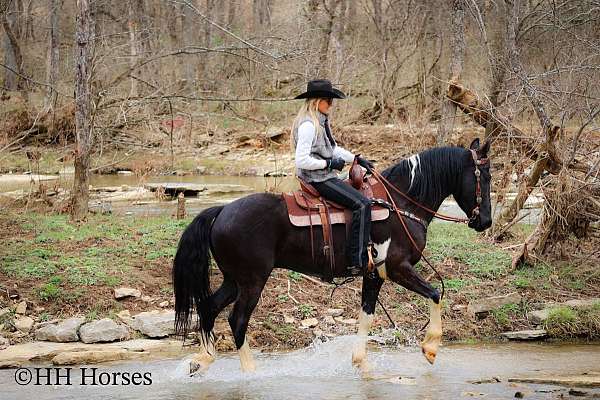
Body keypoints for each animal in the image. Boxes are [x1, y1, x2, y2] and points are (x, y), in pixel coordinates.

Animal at [171, 138, 490, 376]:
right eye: (484, 177)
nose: (485, 221)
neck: (400, 204)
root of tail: (222, 210)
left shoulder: (374, 274)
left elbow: (366, 316)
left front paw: (361, 363)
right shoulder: (397, 268)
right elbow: (435, 293)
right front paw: (431, 348)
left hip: (233, 280)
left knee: (208, 307)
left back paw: (202, 360)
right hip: (252, 281)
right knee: (237, 320)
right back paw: (250, 373)